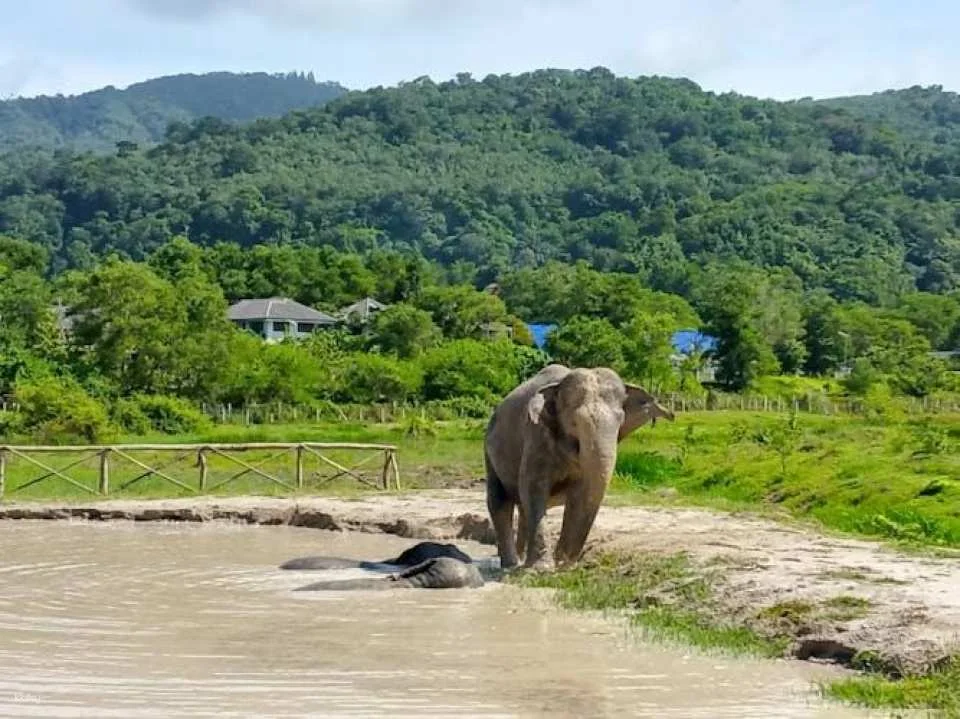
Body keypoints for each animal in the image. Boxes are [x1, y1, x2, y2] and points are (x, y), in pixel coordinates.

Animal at [484, 364, 674, 571]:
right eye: (574, 423)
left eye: (620, 421)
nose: (672, 415)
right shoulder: (537, 435)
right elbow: (533, 487)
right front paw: (543, 569)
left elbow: (581, 492)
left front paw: (564, 565)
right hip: (488, 450)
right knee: (500, 500)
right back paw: (511, 564)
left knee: (521, 505)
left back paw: (521, 560)